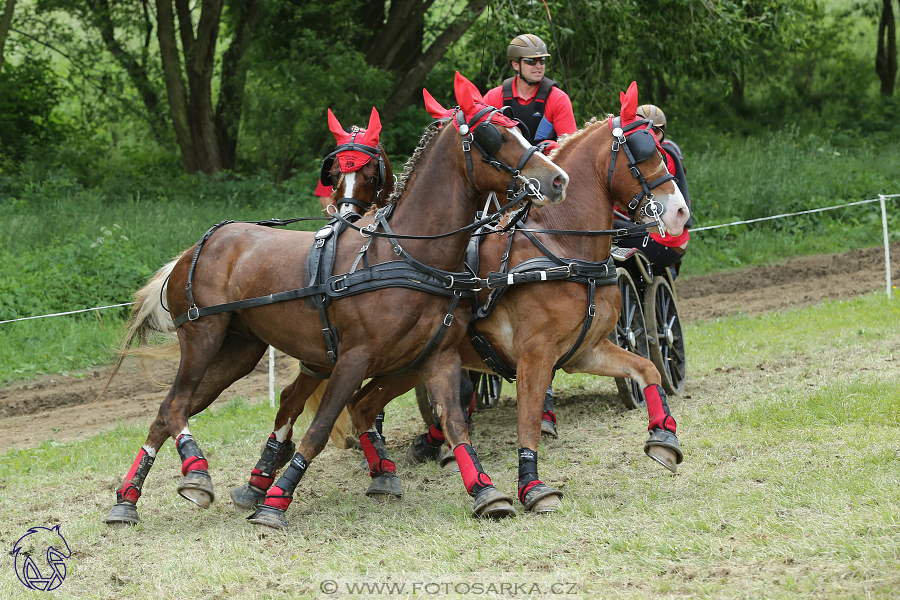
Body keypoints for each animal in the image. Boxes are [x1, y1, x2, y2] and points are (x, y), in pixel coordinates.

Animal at [102, 71, 568, 528]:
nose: (557, 179)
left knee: (166, 411)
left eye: (518, 128)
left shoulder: (439, 356)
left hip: (238, 351)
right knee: (177, 404)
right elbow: (321, 427)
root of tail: (197, 246)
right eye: (495, 135)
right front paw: (276, 503)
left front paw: (485, 490)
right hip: (203, 337)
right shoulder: (353, 358)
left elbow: (455, 423)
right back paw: (195, 471)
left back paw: (128, 500)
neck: (406, 253)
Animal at [239, 79, 688, 512]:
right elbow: (526, 419)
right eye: (642, 151)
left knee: (353, 404)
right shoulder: (537, 353)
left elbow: (646, 369)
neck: (559, 246)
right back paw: (267, 477)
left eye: (658, 149)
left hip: (398, 361)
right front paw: (531, 487)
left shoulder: (584, 351)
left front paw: (664, 438)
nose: (680, 212)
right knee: (308, 400)